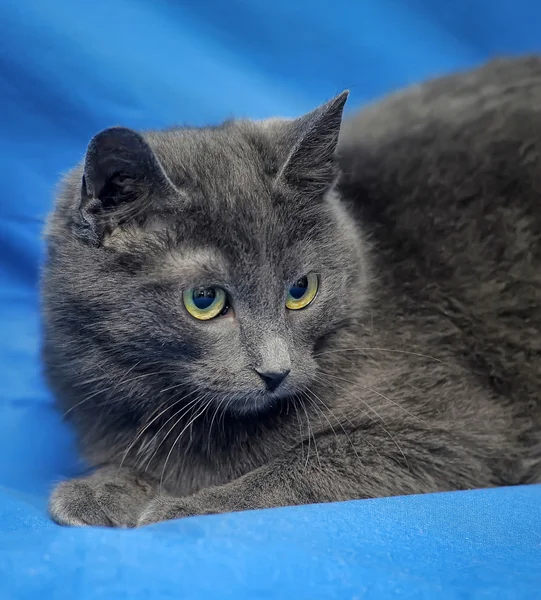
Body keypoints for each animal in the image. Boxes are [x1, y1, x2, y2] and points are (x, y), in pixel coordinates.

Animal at [42, 56, 540, 524]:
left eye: (301, 288)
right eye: (204, 300)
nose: (275, 372)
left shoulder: (452, 432)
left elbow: (299, 469)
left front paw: (187, 507)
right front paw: (103, 487)